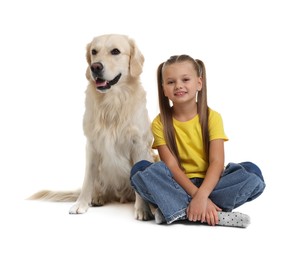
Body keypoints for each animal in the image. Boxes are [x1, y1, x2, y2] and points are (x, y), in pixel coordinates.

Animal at [29, 33, 156, 220]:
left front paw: (142, 209)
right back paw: (96, 198)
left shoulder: (139, 145)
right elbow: (88, 179)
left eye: (115, 51)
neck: (112, 103)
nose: (95, 67)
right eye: (94, 52)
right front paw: (81, 204)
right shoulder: (92, 145)